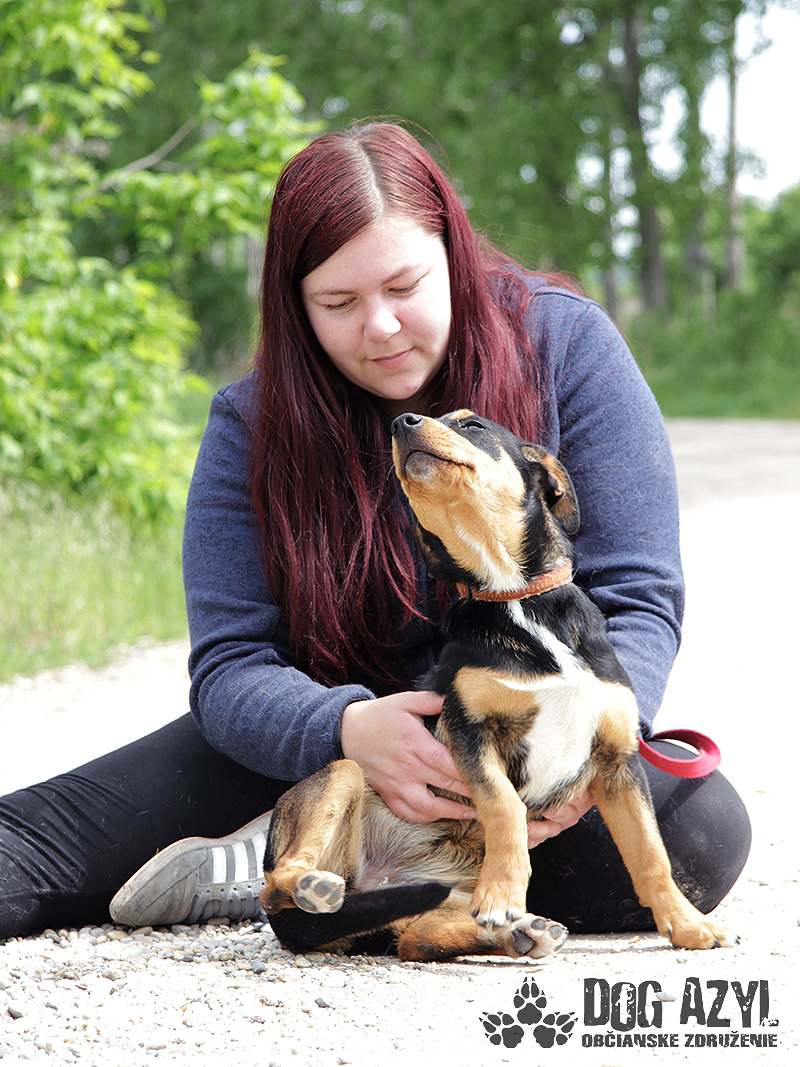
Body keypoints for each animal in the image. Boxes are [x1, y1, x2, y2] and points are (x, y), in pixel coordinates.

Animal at [260, 410, 737, 961]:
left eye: (473, 424)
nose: (402, 422)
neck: (515, 596)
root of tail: (375, 883)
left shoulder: (617, 761)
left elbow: (650, 853)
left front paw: (688, 925)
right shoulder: (469, 730)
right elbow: (505, 806)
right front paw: (504, 893)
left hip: (436, 894)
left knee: (416, 939)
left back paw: (517, 933)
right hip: (342, 773)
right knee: (274, 887)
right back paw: (314, 887)